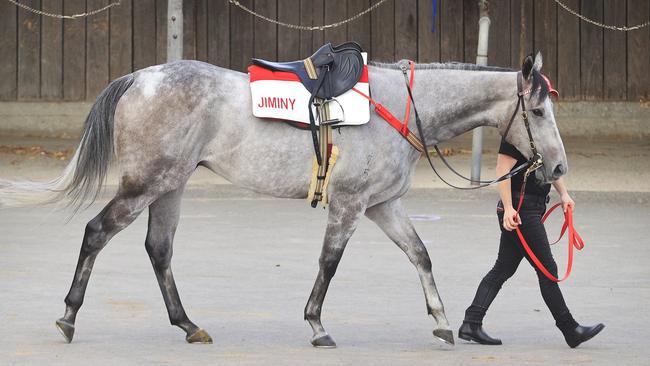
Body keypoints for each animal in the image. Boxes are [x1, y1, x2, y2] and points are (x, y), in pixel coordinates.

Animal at [0, 51, 564, 346]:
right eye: (537, 111)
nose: (557, 169)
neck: (396, 106)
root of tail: (139, 77)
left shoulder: (382, 205)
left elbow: (420, 254)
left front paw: (444, 322)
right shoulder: (350, 204)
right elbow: (329, 263)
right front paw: (317, 324)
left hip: (171, 186)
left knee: (159, 249)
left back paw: (188, 324)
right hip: (146, 184)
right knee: (97, 233)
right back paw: (69, 317)